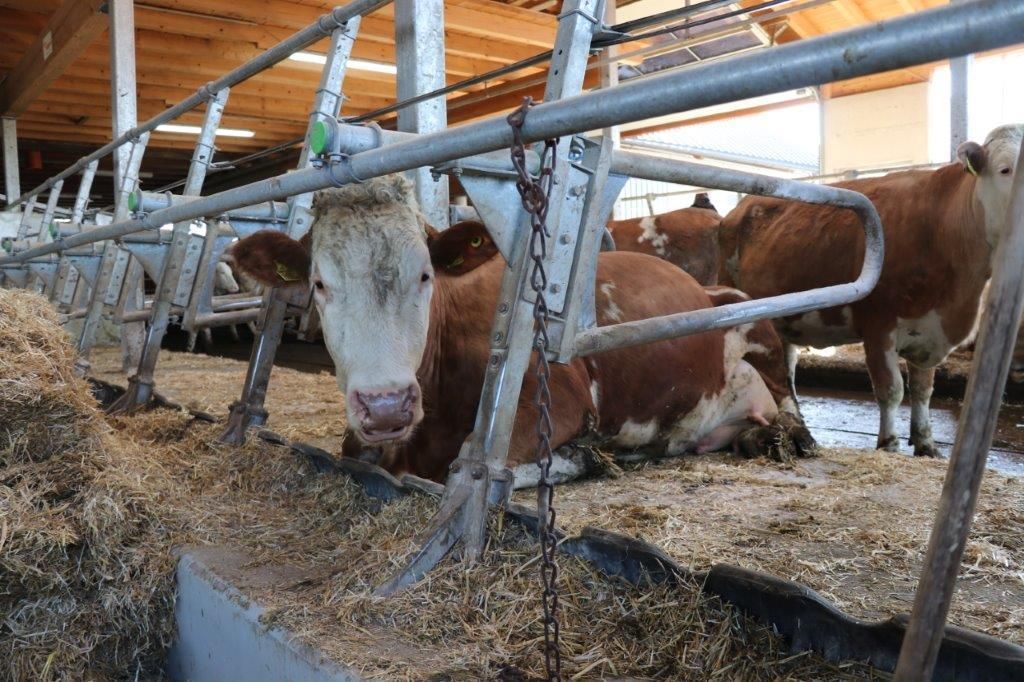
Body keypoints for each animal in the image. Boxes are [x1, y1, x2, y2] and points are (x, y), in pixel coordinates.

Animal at [228, 174, 813, 486]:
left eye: (425, 275)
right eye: (319, 283)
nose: (387, 405)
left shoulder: (557, 402)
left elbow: (470, 466)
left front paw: (586, 456)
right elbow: (357, 452)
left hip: (755, 324)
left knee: (792, 405)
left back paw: (785, 435)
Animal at [718, 124, 1023, 457]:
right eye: (1006, 169)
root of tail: (741, 207)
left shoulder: (930, 330)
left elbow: (923, 390)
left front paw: (926, 442)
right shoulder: (879, 326)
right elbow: (891, 390)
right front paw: (889, 444)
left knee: (786, 369)